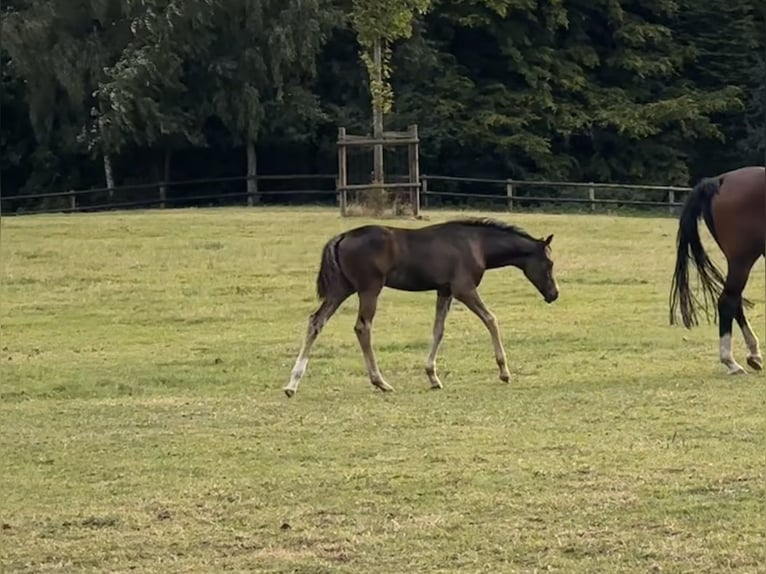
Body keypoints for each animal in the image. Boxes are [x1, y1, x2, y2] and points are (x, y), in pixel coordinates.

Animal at [284, 217, 560, 397]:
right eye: (549, 263)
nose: (553, 294)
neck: (476, 244)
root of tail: (341, 237)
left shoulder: (444, 290)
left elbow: (438, 330)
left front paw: (433, 376)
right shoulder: (463, 289)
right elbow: (491, 319)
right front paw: (504, 371)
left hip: (341, 288)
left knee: (316, 320)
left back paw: (292, 384)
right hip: (369, 288)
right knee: (363, 326)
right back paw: (380, 382)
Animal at [669, 165, 766, 374]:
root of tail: (721, 180)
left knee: (735, 301)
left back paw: (753, 354)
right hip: (741, 259)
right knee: (728, 300)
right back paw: (731, 362)